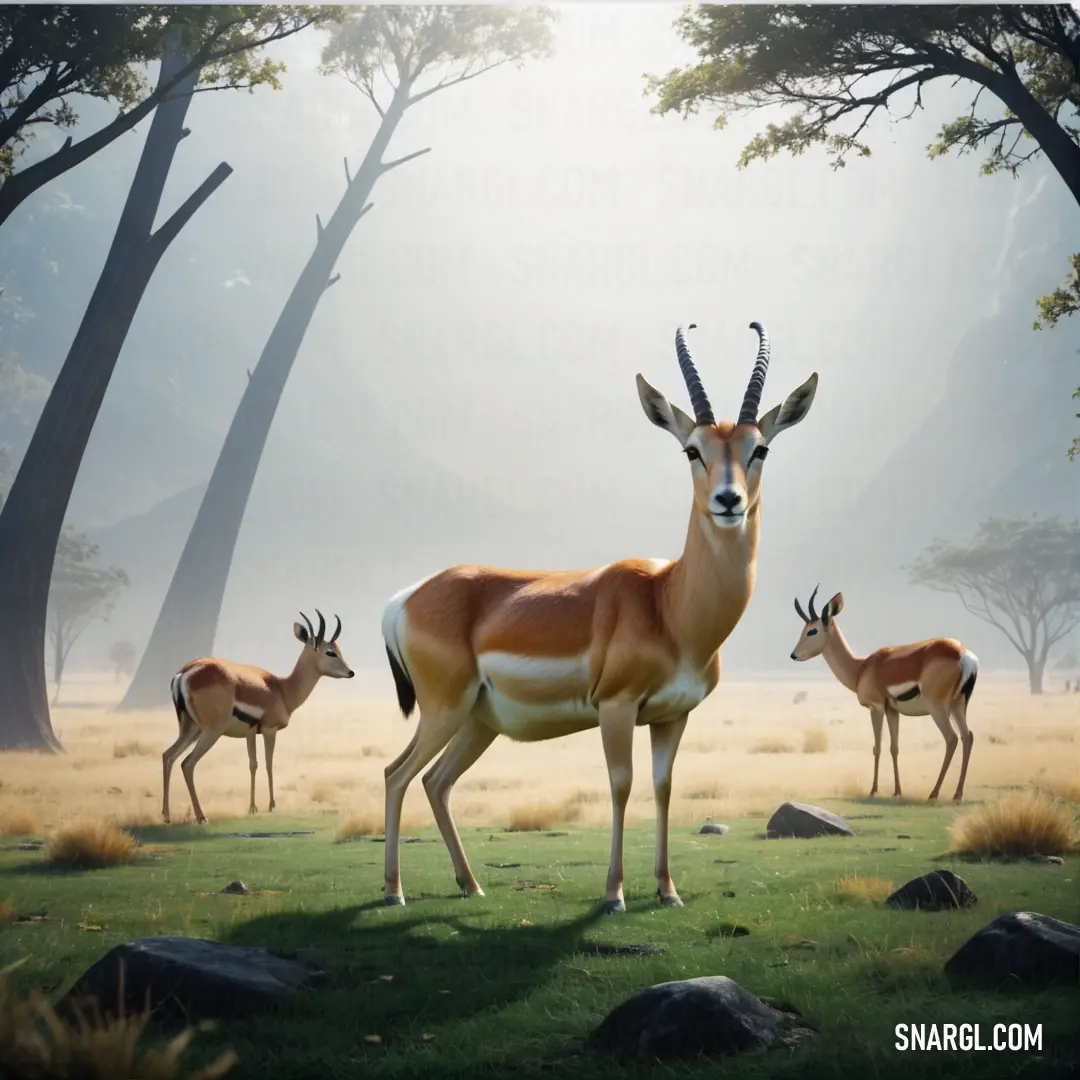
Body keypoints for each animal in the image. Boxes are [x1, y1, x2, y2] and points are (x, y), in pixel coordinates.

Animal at [162, 609, 354, 825]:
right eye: (330, 652)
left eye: (338, 649)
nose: (350, 672)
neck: (282, 689)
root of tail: (183, 673)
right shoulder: (270, 730)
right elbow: (269, 764)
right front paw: (271, 805)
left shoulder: (250, 733)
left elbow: (253, 764)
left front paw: (252, 808)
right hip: (211, 732)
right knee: (187, 763)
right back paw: (201, 817)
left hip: (191, 729)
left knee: (168, 756)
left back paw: (166, 816)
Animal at [380, 319, 816, 911]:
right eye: (692, 450)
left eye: (761, 448)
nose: (729, 501)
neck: (669, 604)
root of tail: (406, 598)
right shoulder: (616, 706)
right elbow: (621, 784)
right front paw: (614, 895)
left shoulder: (673, 716)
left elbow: (663, 788)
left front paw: (668, 890)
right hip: (443, 711)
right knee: (396, 774)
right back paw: (394, 892)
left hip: (477, 721)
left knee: (436, 782)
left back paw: (471, 885)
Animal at [786, 591, 980, 803]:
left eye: (812, 631)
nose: (794, 655)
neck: (860, 668)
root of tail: (962, 654)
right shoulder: (892, 711)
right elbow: (894, 748)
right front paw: (896, 791)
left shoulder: (876, 707)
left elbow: (877, 747)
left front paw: (873, 791)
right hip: (957, 705)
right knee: (967, 736)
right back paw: (957, 794)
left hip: (937, 707)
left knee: (952, 738)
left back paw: (934, 794)